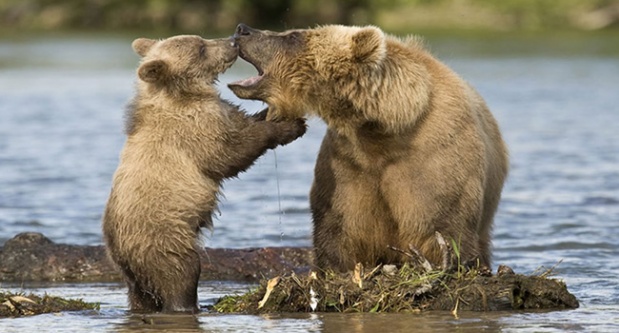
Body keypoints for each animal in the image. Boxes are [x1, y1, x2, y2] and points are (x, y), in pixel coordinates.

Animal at [103, 35, 308, 312]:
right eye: (201, 48)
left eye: (202, 40)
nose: (232, 41)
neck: (183, 94)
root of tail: (120, 252)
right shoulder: (194, 128)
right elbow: (231, 153)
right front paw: (291, 127)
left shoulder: (221, 113)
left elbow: (245, 121)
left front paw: (280, 111)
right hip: (163, 238)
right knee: (181, 272)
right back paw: (189, 304)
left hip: (132, 272)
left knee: (141, 294)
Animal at [228, 24, 508, 272]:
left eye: (293, 36)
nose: (243, 29)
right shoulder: (348, 164)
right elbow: (340, 227)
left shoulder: (434, 156)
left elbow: (440, 224)